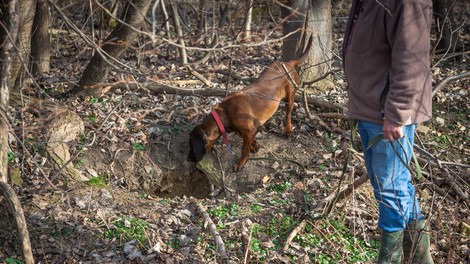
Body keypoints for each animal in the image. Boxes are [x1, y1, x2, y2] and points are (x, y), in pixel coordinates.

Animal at [187, 36, 312, 171]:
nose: (188, 159)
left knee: (288, 114)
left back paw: (288, 130)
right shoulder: (246, 130)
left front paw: (241, 162)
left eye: (192, 145)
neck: (224, 114)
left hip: (289, 97)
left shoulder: (247, 130)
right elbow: (250, 139)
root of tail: (288, 63)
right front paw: (254, 144)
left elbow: (244, 150)